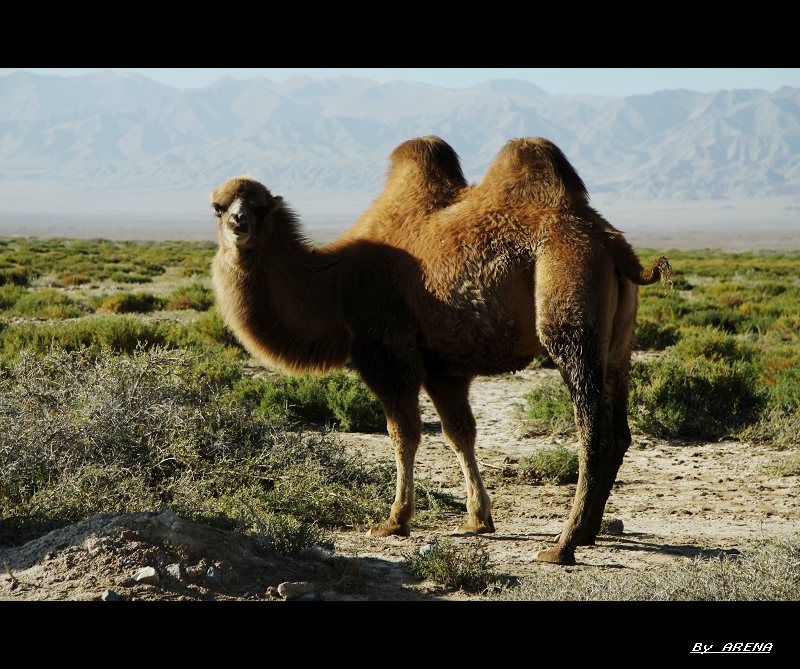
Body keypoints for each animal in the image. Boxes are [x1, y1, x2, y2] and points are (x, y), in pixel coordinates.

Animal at [209, 137, 672, 564]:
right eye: (218, 206)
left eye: (259, 207)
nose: (238, 223)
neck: (332, 283)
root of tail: (613, 245)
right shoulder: (442, 366)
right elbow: (459, 432)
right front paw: (477, 519)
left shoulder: (387, 352)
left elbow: (404, 434)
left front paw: (394, 521)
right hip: (618, 341)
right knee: (618, 427)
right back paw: (589, 532)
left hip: (568, 303)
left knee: (592, 429)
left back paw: (564, 544)